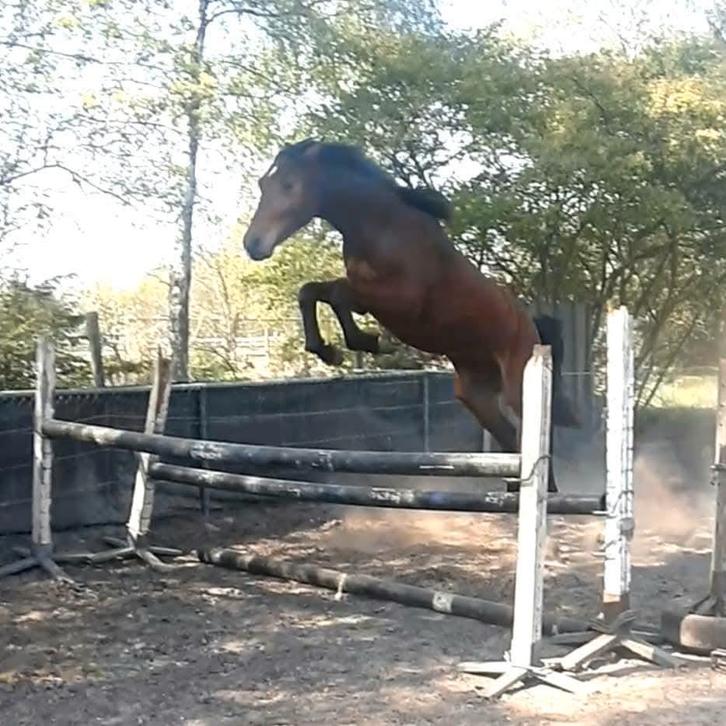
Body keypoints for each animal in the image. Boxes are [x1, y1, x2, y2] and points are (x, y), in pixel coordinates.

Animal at [241, 139, 580, 492]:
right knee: (510, 435)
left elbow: (338, 294)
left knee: (533, 431)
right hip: (476, 396)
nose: (252, 244)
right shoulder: (367, 295)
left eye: (289, 185)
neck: (381, 227)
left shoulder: (400, 300)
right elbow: (310, 292)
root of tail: (532, 327)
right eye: (263, 184)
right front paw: (329, 350)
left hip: (518, 386)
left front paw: (365, 342)